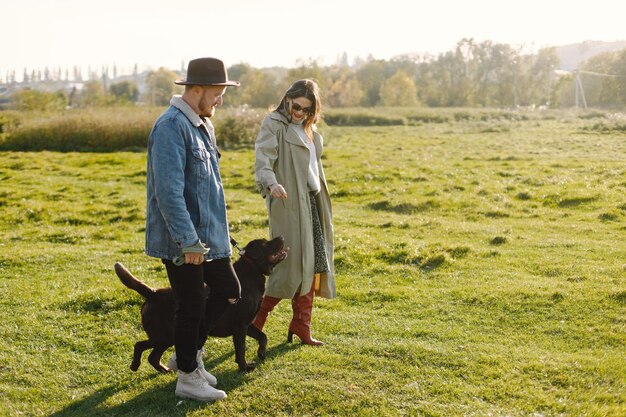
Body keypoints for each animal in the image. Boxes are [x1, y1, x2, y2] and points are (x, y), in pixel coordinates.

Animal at [113, 237, 286, 370]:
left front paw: (261, 353)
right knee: (140, 345)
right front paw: (244, 367)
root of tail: (153, 293)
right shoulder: (240, 326)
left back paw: (165, 370)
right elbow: (241, 349)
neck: (252, 271)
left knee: (153, 357)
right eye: (265, 244)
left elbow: (263, 336)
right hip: (164, 335)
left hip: (168, 337)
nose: (282, 237)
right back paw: (135, 365)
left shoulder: (248, 324)